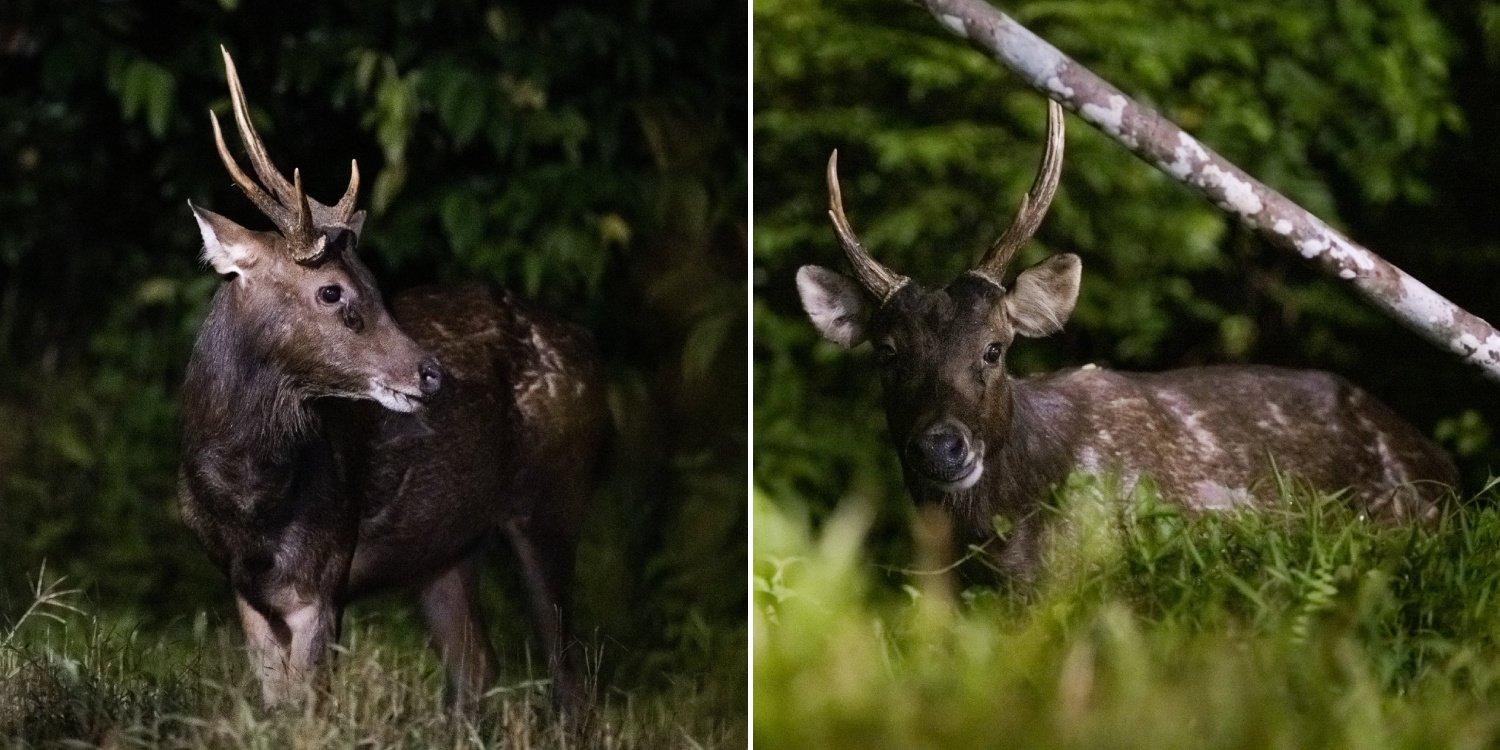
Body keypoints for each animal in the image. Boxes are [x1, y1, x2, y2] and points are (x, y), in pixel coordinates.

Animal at [172, 48, 600, 714]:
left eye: (375, 280)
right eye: (332, 290)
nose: (430, 372)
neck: (248, 504)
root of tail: (588, 350)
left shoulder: (324, 572)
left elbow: (308, 712)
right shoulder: (243, 588)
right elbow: (275, 709)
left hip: (554, 499)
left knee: (572, 674)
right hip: (446, 549)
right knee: (479, 668)